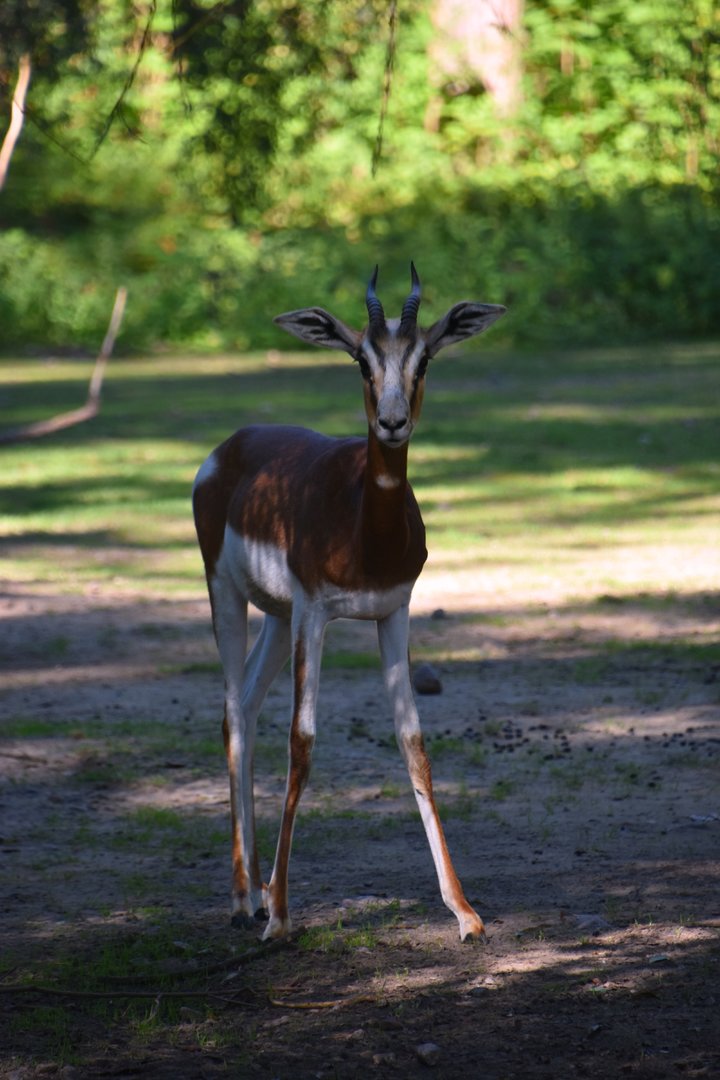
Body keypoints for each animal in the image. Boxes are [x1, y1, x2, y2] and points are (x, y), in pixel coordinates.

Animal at [193, 265, 506, 942]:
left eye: (423, 359)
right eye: (362, 360)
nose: (391, 422)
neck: (365, 520)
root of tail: (229, 447)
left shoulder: (393, 611)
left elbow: (413, 744)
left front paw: (465, 912)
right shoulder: (317, 613)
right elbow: (302, 740)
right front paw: (283, 917)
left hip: (277, 618)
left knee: (247, 703)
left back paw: (257, 888)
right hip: (227, 596)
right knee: (231, 711)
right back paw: (244, 897)